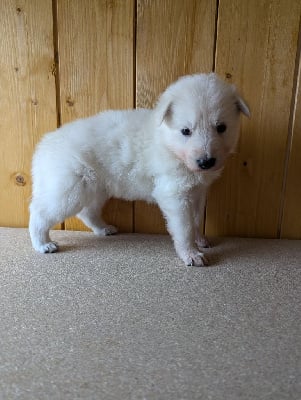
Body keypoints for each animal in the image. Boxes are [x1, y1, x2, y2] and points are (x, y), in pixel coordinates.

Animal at [28, 73, 248, 268]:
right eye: (186, 131)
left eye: (221, 127)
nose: (206, 162)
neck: (169, 144)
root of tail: (44, 144)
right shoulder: (174, 194)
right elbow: (184, 227)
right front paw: (191, 254)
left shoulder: (197, 192)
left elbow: (195, 219)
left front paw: (200, 240)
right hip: (68, 190)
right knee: (40, 211)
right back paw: (43, 243)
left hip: (96, 188)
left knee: (87, 212)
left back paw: (103, 228)